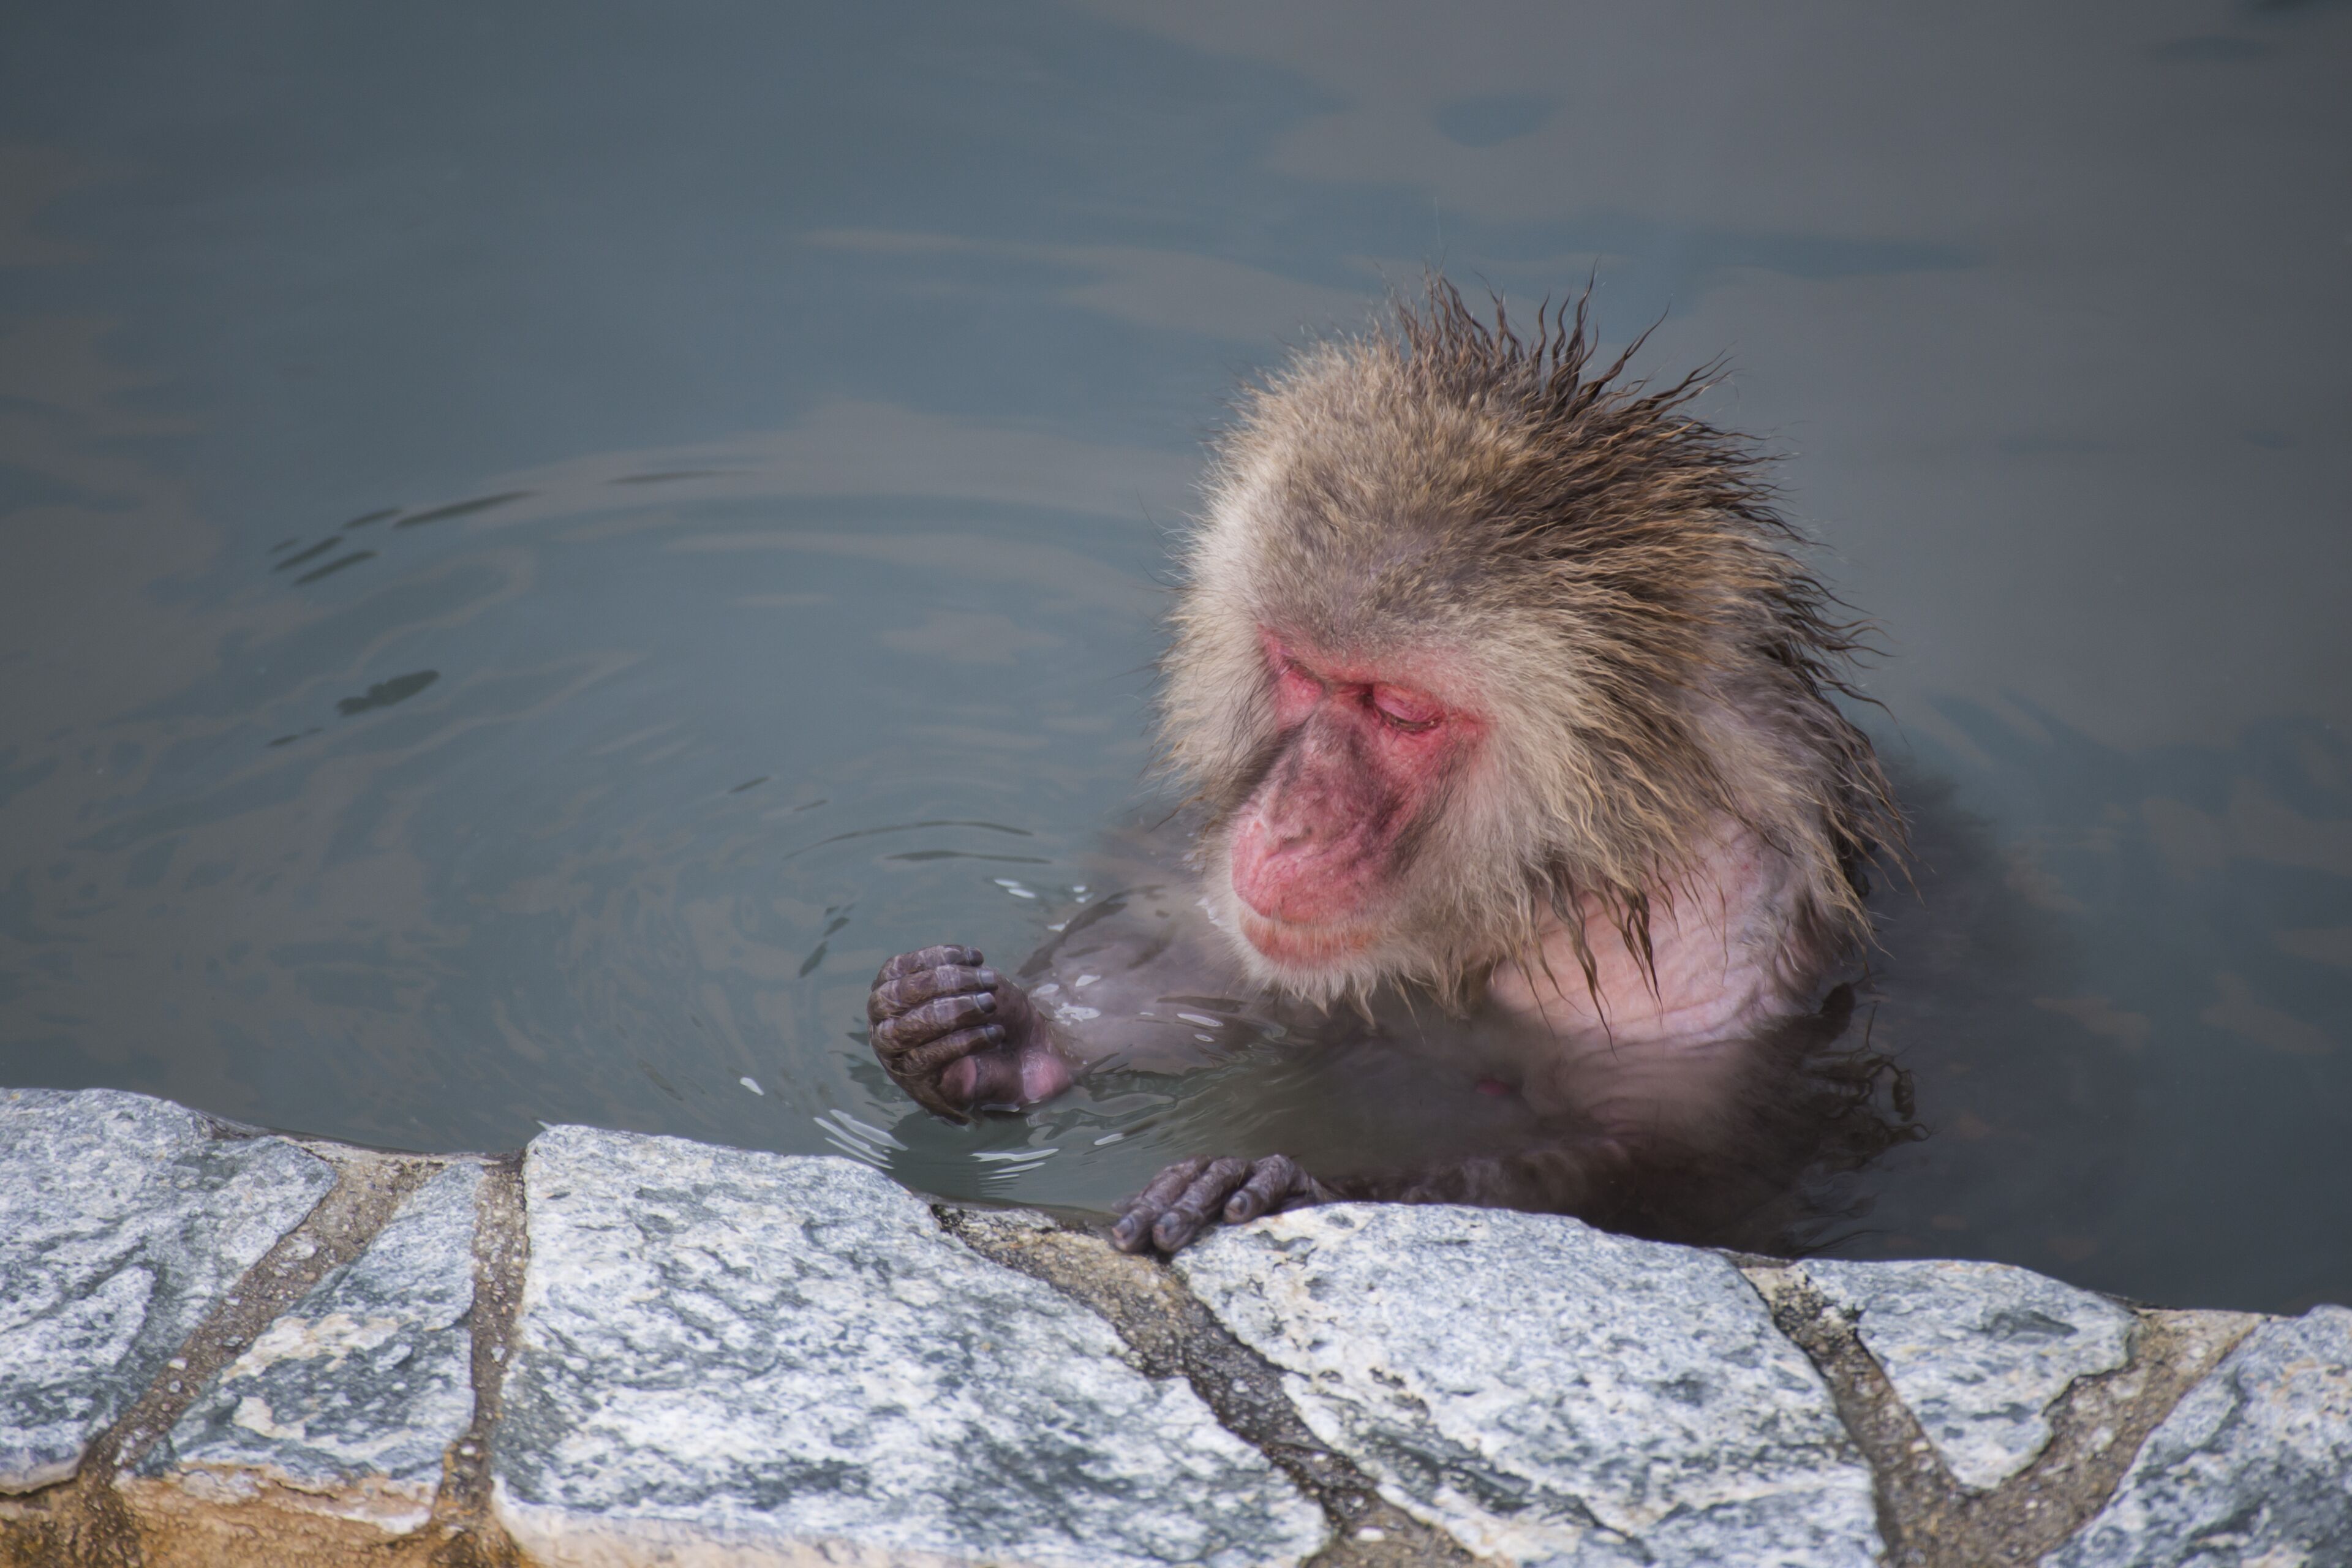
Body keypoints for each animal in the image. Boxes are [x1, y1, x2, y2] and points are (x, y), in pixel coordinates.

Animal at [867, 279, 1904, 1256]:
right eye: (1299, 671)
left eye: (1401, 710)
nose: (1290, 819)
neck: (1552, 859)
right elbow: (1216, 954)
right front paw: (993, 1041)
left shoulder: (1719, 919)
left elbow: (1673, 1157)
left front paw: (1290, 1184)